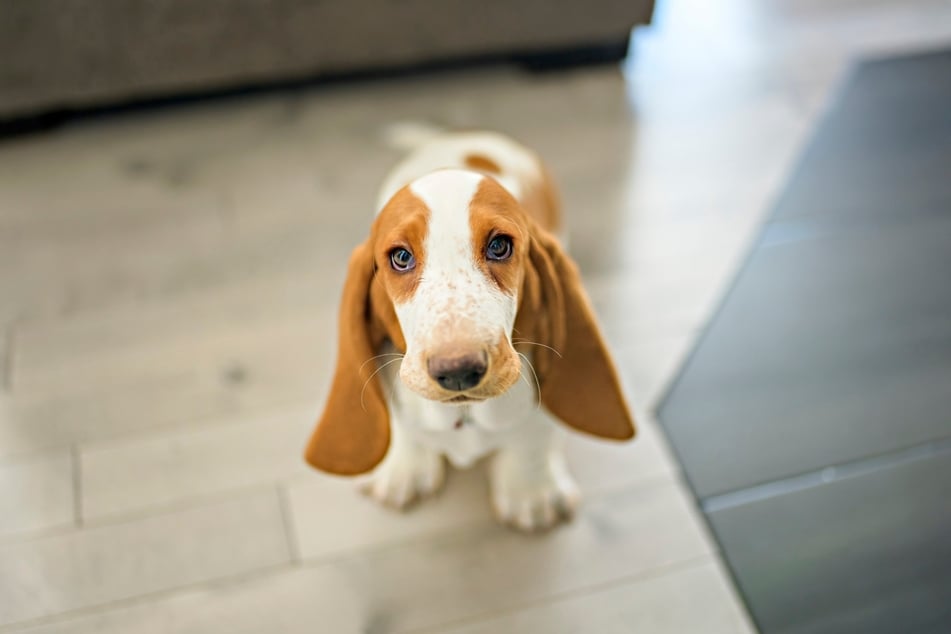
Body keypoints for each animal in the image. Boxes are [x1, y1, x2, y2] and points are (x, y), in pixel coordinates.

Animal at [304, 130, 632, 528]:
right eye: (401, 257)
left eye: (499, 245)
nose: (458, 370)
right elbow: (403, 427)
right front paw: (403, 471)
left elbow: (535, 437)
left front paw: (531, 495)